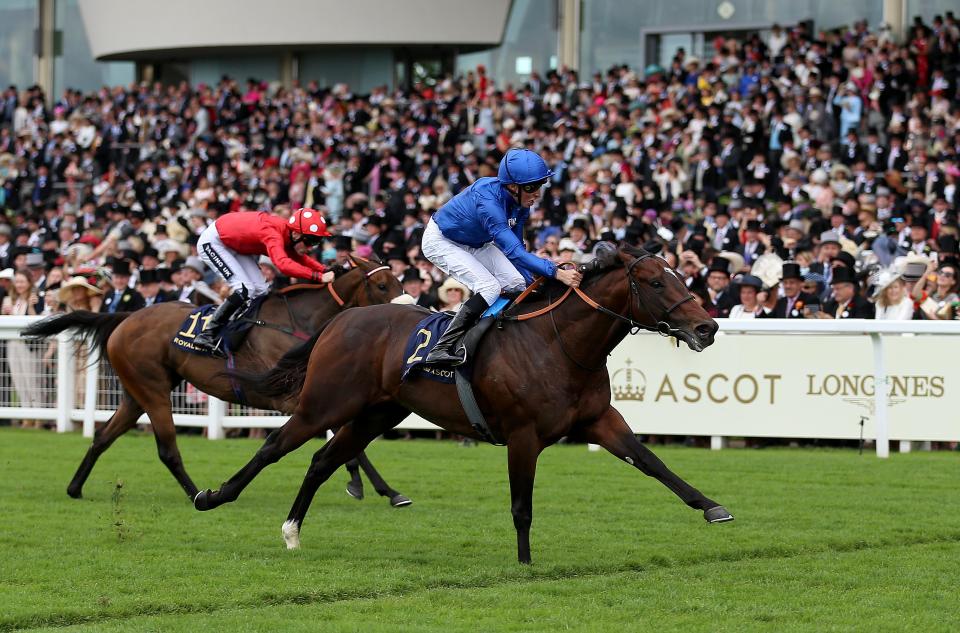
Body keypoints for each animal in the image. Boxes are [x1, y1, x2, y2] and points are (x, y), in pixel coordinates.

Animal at [24, 254, 410, 506]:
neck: (300, 322)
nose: (409, 309)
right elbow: (349, 441)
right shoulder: (296, 396)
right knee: (167, 449)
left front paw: (381, 489)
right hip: (152, 390)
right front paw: (379, 489)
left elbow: (349, 439)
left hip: (137, 393)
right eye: (381, 284)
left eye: (399, 280)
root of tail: (125, 317)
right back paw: (198, 493)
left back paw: (75, 488)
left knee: (103, 436)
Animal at [195, 246, 736, 564]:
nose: (707, 327)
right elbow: (522, 505)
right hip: (324, 404)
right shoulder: (523, 435)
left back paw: (293, 531)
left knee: (323, 459)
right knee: (274, 446)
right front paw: (525, 563)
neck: (559, 344)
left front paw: (712, 507)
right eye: (658, 283)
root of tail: (339, 320)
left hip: (376, 412)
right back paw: (213, 497)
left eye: (683, 276)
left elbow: (651, 462)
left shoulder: (599, 420)